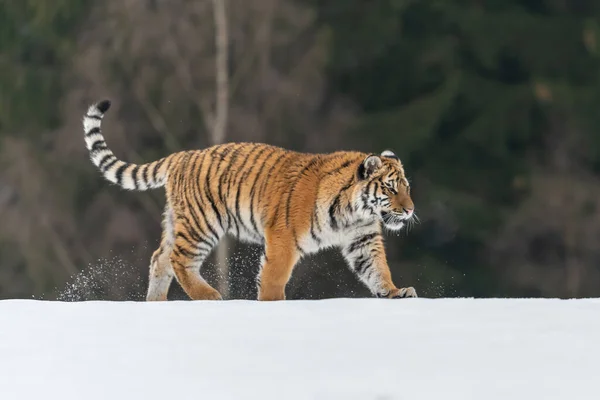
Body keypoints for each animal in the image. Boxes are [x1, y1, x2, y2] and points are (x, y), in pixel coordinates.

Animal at [82, 99, 420, 300]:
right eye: (391, 188)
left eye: (407, 187)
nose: (410, 210)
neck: (355, 212)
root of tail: (182, 155)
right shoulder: (283, 237)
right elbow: (273, 277)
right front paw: (272, 305)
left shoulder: (363, 240)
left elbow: (377, 270)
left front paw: (396, 292)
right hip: (202, 223)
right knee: (179, 259)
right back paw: (210, 297)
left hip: (178, 221)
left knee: (160, 258)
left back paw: (156, 304)